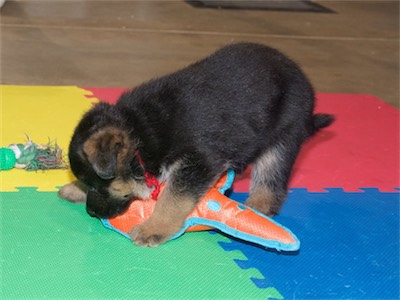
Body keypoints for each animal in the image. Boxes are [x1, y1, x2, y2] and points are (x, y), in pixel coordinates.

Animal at [58, 43, 334, 247]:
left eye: (100, 187)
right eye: (87, 183)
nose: (91, 212)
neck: (140, 133)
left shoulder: (198, 163)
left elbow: (172, 199)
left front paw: (154, 228)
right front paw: (74, 189)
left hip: (282, 139)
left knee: (270, 182)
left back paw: (257, 210)